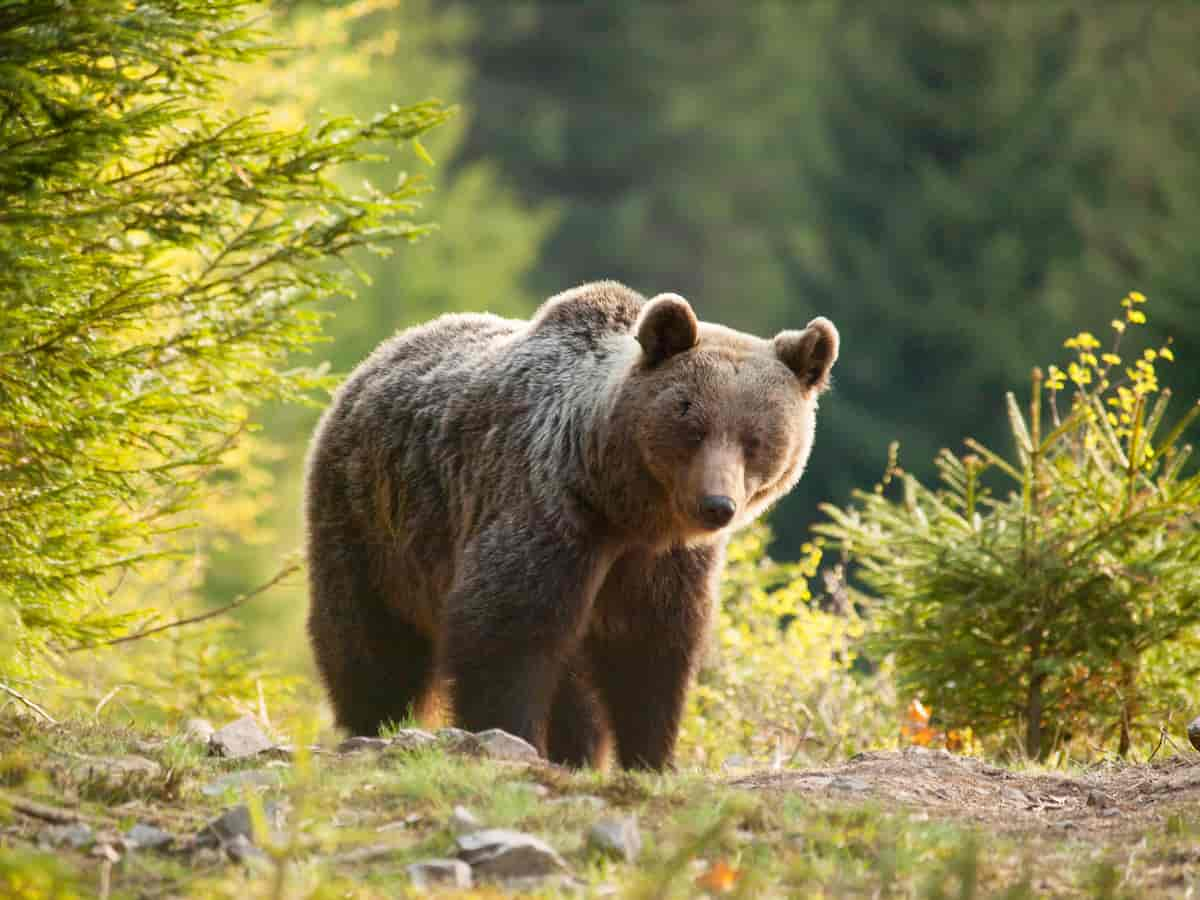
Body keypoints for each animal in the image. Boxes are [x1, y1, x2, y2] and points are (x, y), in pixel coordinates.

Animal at [304, 280, 840, 768]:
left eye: (757, 439)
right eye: (693, 427)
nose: (716, 505)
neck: (625, 509)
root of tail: (382, 353)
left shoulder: (661, 564)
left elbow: (651, 654)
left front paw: (650, 758)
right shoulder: (550, 515)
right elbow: (505, 633)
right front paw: (509, 738)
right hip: (373, 524)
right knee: (369, 642)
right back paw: (374, 724)